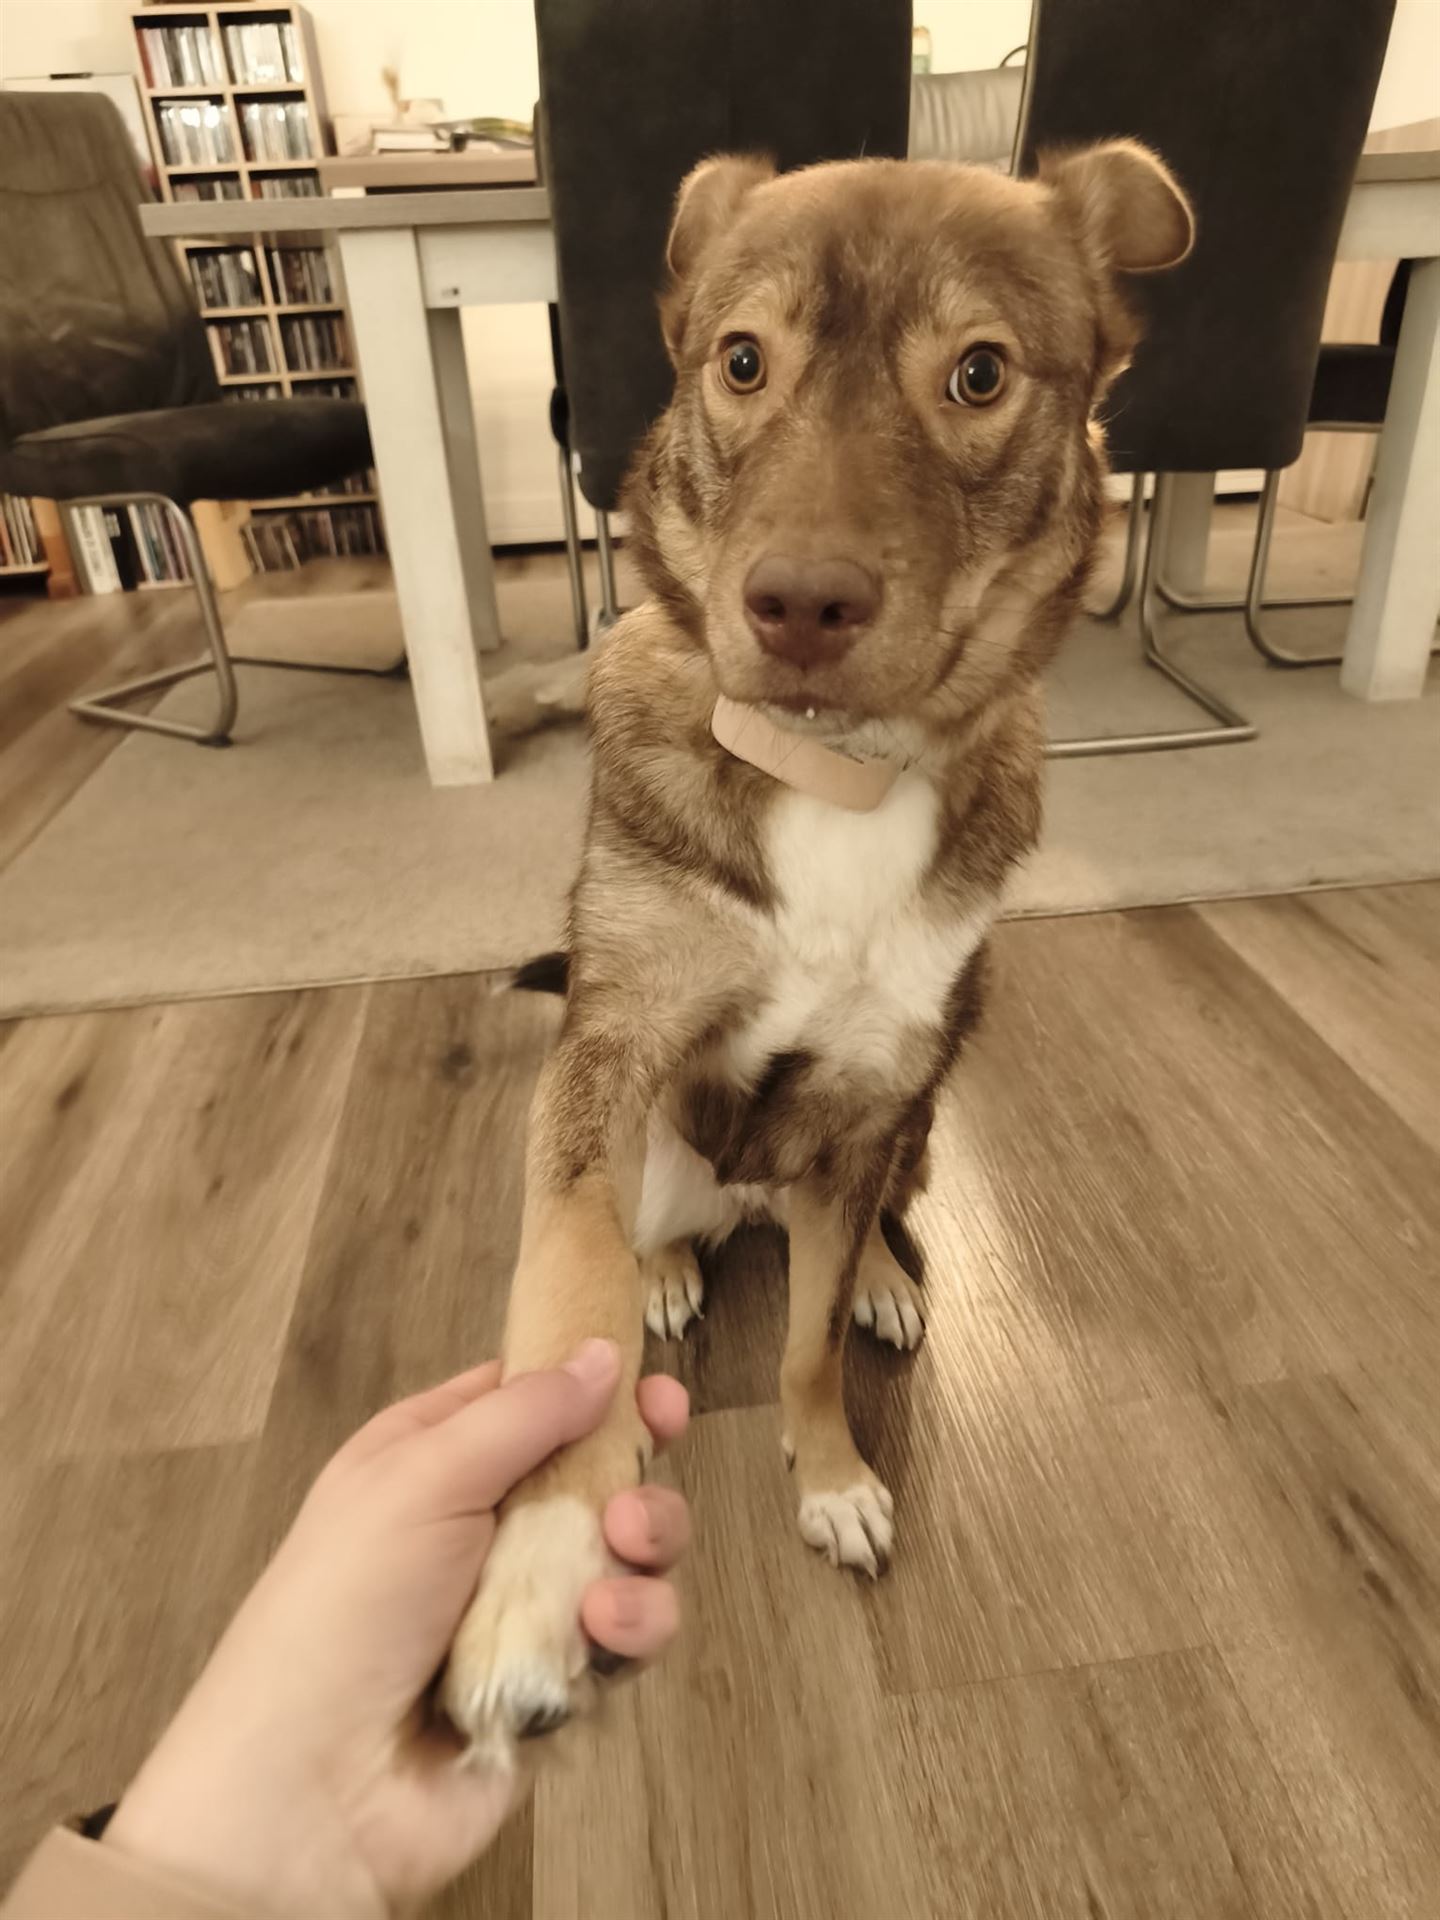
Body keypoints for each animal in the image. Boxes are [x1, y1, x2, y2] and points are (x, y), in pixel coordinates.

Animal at [443, 143, 1193, 1764]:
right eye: (741, 362)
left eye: (980, 374)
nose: (795, 605)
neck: (832, 773)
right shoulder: (608, 1052)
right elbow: (570, 1287)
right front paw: (540, 1568)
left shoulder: (874, 1085)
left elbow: (800, 1349)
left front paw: (835, 1470)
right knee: (668, 1227)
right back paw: (678, 1265)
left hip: (920, 1115)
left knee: (847, 1226)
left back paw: (882, 1280)